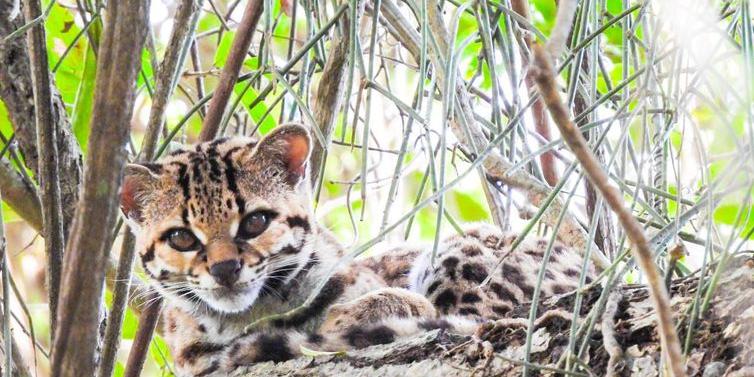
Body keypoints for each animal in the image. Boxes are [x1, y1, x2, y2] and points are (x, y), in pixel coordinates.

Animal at [120, 123, 592, 374]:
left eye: (255, 222)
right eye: (182, 237)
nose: (224, 270)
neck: (252, 315)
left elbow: (391, 301)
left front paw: (345, 315)